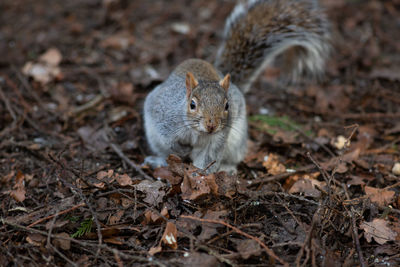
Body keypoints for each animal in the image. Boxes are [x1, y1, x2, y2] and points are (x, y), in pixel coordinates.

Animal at [144, 0, 332, 175]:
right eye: (192, 104)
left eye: (227, 106)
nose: (211, 125)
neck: (199, 133)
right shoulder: (165, 119)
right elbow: (169, 141)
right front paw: (183, 150)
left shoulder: (217, 139)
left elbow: (207, 159)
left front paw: (200, 176)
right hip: (153, 134)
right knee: (163, 150)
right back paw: (159, 161)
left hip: (236, 141)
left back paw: (227, 168)